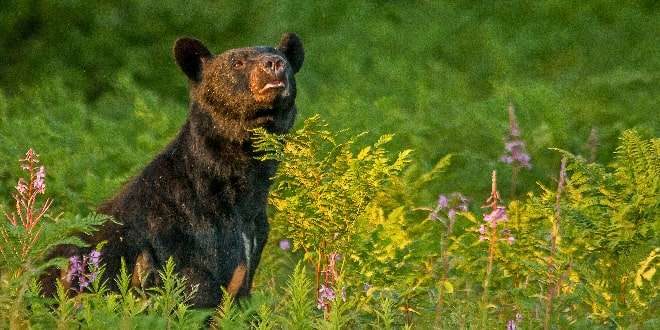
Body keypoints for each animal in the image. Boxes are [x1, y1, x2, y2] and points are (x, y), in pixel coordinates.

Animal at [43, 33, 304, 306]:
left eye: (283, 58)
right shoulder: (189, 233)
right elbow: (197, 289)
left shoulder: (254, 233)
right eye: (237, 62)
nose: (274, 63)